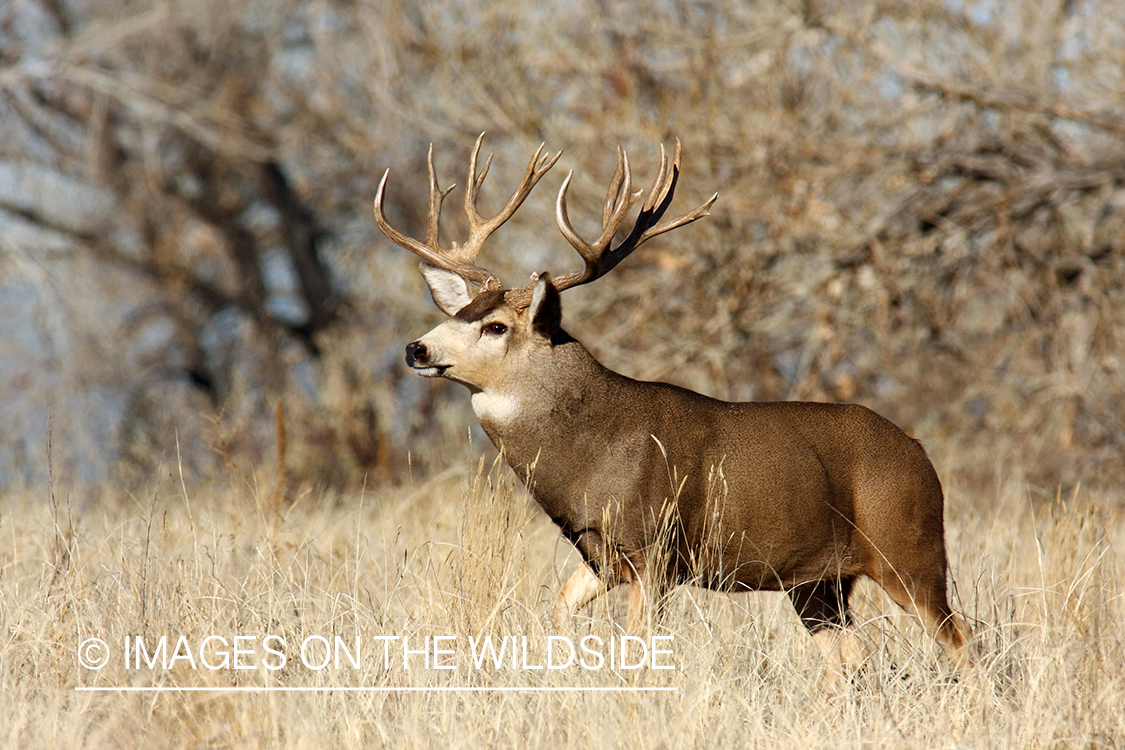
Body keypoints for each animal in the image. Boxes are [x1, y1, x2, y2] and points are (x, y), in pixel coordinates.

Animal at [374, 134, 972, 679]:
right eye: (460, 313)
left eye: (496, 326)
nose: (415, 349)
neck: (592, 449)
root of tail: (919, 451)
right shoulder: (600, 554)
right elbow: (558, 612)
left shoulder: (657, 548)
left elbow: (639, 646)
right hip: (818, 584)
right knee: (853, 658)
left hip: (909, 548)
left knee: (961, 640)